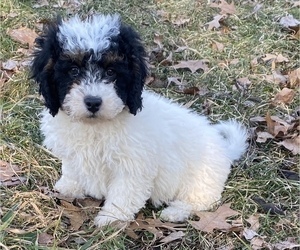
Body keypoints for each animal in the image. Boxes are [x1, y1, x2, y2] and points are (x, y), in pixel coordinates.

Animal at [31, 14, 248, 228]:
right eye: (74, 70)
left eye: (111, 72)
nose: (93, 102)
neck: (95, 125)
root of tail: (225, 149)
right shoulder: (72, 153)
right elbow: (71, 169)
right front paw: (68, 187)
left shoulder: (133, 167)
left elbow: (123, 193)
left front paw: (111, 218)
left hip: (201, 180)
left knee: (199, 201)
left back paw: (175, 212)